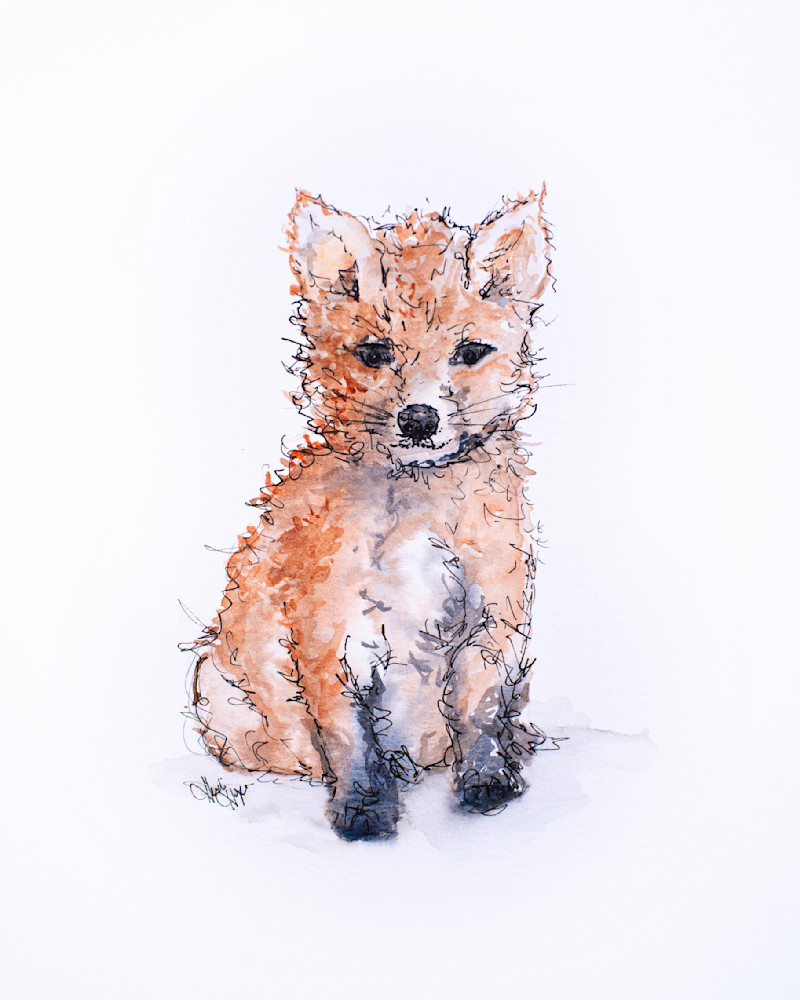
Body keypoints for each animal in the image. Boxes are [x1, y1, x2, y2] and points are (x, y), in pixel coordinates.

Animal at [188, 188, 554, 840]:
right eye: (375, 353)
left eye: (470, 353)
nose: (420, 419)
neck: (419, 512)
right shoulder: (327, 634)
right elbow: (348, 736)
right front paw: (362, 806)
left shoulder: (494, 618)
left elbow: (479, 713)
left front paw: (485, 780)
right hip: (217, 688)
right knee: (273, 750)